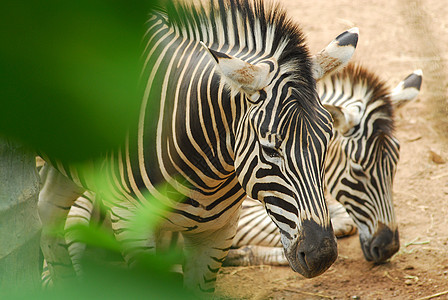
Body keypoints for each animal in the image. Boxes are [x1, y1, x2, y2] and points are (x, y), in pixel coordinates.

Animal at [36, 0, 358, 294]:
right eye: (270, 149)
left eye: (326, 142)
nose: (321, 255)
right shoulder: (132, 223)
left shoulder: (219, 232)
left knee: (49, 209)